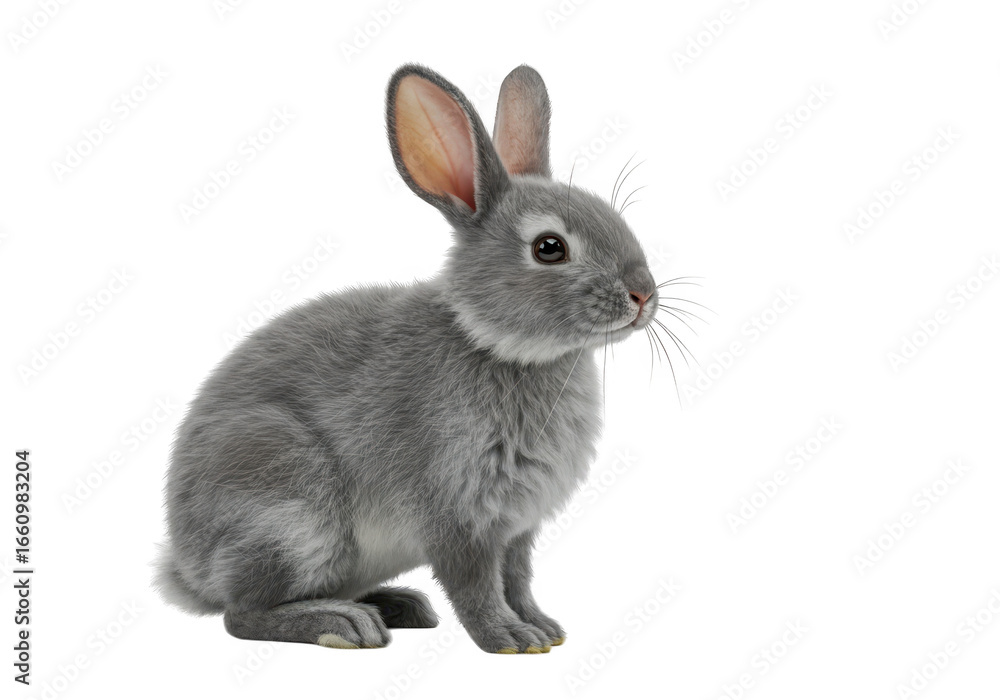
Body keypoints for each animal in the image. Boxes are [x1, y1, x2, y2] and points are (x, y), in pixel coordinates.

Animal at [155, 63, 661, 654]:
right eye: (549, 248)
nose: (643, 294)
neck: (497, 345)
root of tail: (189, 572)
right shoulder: (456, 515)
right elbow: (475, 584)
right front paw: (510, 638)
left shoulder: (516, 529)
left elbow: (517, 578)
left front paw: (543, 628)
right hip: (289, 511)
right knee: (242, 614)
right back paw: (342, 624)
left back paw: (397, 605)